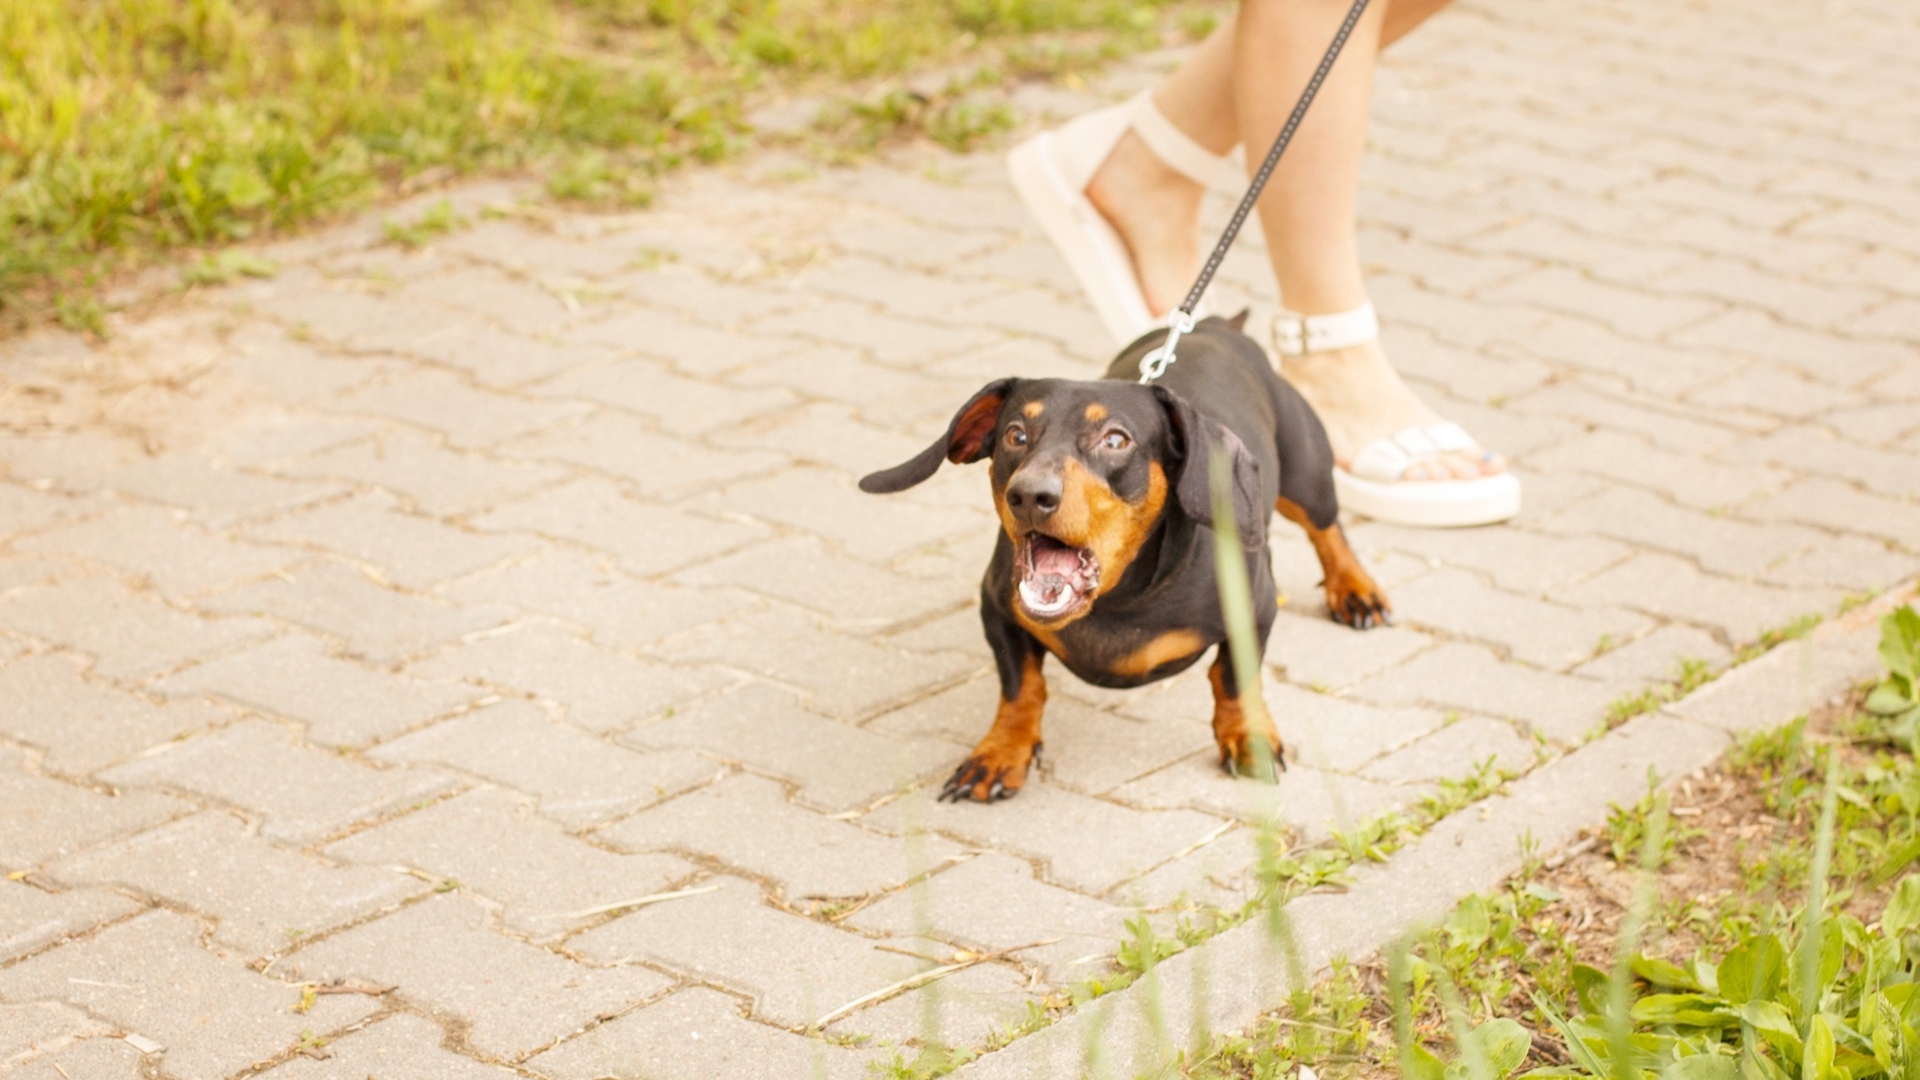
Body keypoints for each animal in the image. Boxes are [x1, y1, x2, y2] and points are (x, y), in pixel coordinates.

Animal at [864, 313, 1390, 799]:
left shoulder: (1257, 607)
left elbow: (1234, 677)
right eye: (1015, 434)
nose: (1029, 495)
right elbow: (1021, 688)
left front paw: (1248, 737)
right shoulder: (997, 607)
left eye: (1115, 439)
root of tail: (1217, 326)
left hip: (1307, 475)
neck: (1120, 599)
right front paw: (1001, 752)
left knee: (1327, 527)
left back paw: (1355, 590)